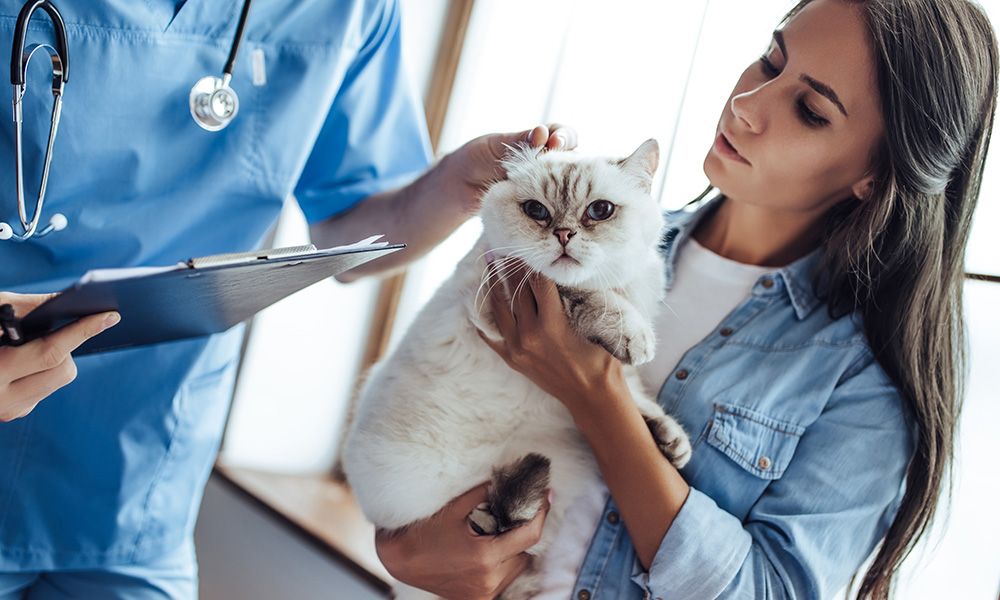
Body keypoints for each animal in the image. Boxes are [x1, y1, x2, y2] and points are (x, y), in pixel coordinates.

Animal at [342, 139, 688, 596]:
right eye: (537, 211)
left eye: (600, 211)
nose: (563, 235)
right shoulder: (499, 290)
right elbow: (581, 292)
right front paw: (633, 335)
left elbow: (635, 399)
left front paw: (670, 441)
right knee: (493, 519)